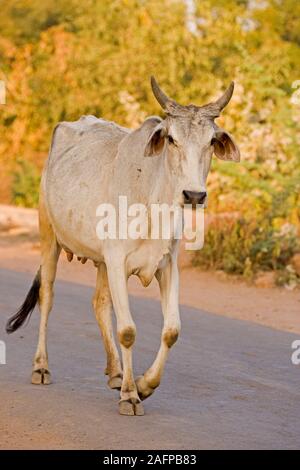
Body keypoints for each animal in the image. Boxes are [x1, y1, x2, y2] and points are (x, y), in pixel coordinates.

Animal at [5, 76, 240, 414]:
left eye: (210, 141)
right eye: (171, 139)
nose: (194, 195)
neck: (154, 201)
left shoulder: (166, 265)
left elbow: (172, 330)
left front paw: (144, 384)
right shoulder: (117, 262)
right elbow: (127, 330)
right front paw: (130, 395)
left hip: (101, 261)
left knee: (100, 303)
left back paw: (116, 372)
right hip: (48, 236)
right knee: (47, 296)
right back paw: (41, 367)